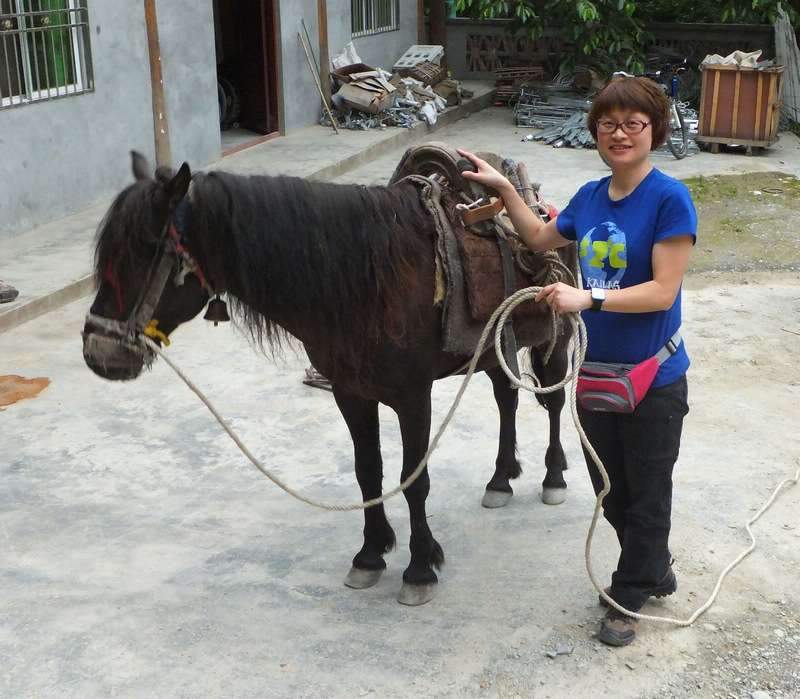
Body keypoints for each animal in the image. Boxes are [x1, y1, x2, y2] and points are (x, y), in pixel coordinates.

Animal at [81, 149, 577, 606]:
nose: (97, 353)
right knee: (506, 399)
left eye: (141, 254)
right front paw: (370, 555)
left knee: (553, 404)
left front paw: (419, 567)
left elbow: (414, 480)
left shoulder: (413, 397)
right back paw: (500, 478)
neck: (368, 280)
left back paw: (553, 478)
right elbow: (367, 472)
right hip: (495, 349)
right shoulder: (349, 392)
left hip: (557, 337)